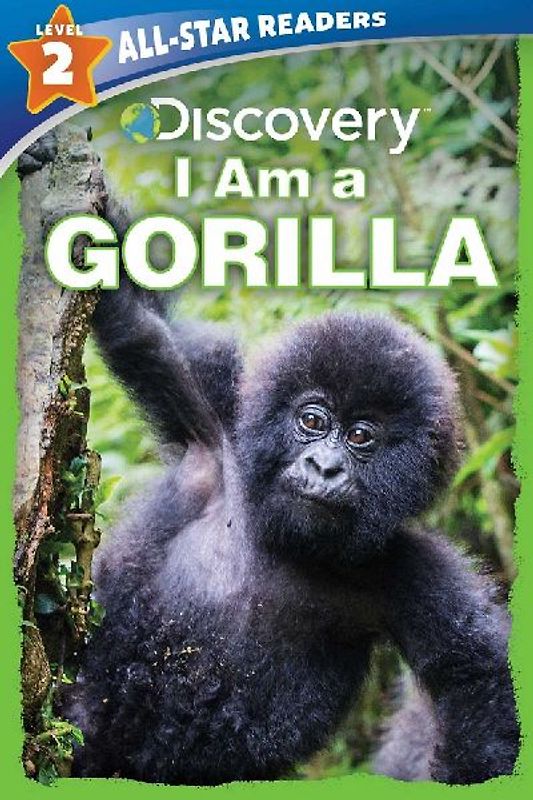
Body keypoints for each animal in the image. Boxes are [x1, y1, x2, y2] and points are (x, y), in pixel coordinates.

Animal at [58, 271, 518, 786]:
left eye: (360, 436)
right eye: (312, 420)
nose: (323, 466)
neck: (284, 540)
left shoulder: (405, 567)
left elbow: (478, 679)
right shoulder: (220, 425)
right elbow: (141, 326)